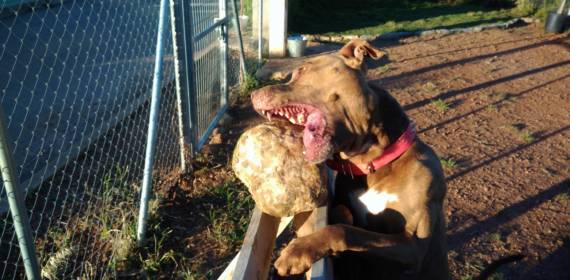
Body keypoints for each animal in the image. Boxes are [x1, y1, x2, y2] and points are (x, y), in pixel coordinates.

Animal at [252, 40, 448, 280]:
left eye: (301, 70)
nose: (253, 94)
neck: (374, 164)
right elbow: (342, 216)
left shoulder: (413, 245)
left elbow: (345, 231)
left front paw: (298, 250)